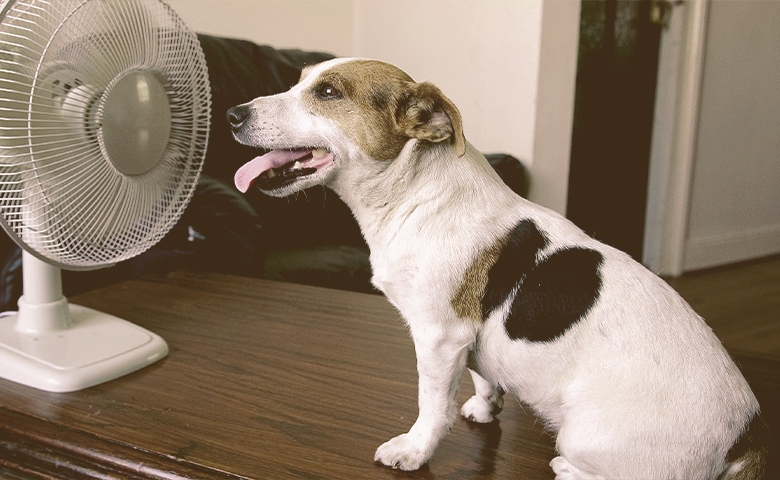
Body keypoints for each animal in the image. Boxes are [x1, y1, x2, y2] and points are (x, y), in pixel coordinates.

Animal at [227, 59, 768, 480]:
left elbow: (432, 405)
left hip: (583, 435)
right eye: (299, 81)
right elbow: (482, 376)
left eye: (328, 92)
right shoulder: (467, 339)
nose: (233, 114)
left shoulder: (438, 336)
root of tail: (747, 438)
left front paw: (415, 451)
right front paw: (486, 409)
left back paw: (568, 468)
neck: (415, 192)